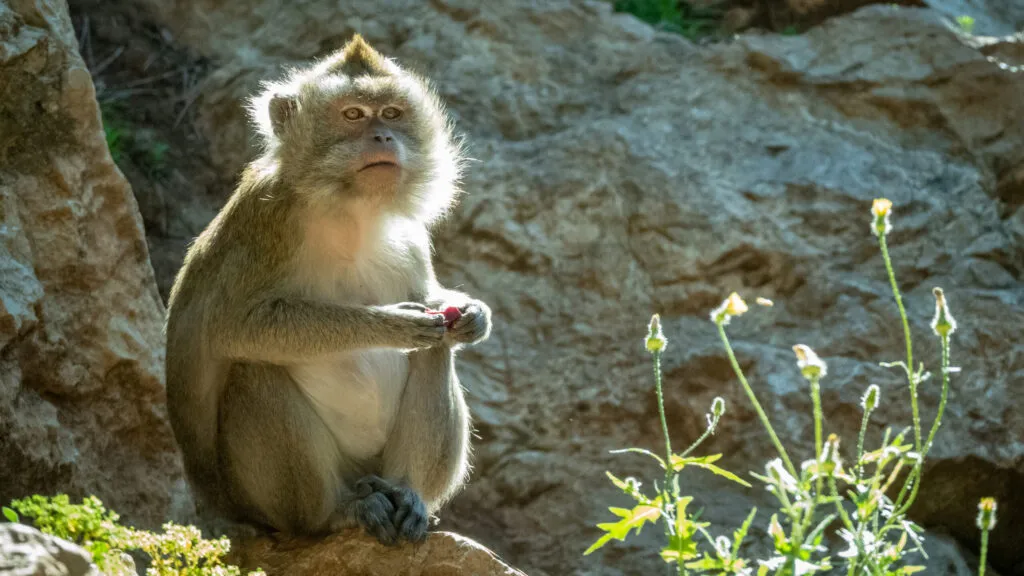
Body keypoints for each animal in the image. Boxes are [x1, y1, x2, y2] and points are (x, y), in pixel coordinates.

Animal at [163, 35, 491, 546]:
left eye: (392, 113)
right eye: (353, 115)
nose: (383, 137)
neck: (350, 208)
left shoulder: (411, 235)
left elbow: (435, 303)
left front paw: (473, 314)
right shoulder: (268, 218)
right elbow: (232, 326)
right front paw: (392, 324)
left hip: (374, 467)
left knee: (437, 352)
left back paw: (408, 495)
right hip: (261, 501)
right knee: (253, 369)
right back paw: (334, 514)